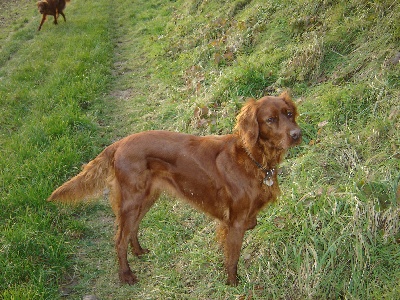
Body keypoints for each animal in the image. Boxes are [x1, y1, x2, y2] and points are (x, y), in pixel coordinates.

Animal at [47, 91, 304, 286]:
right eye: (270, 120)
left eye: (289, 114)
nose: (297, 134)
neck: (254, 158)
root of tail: (119, 144)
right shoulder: (236, 221)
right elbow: (233, 258)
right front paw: (232, 283)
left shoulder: (242, 218)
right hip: (132, 199)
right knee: (119, 239)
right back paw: (126, 275)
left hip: (147, 197)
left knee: (132, 229)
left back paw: (139, 252)